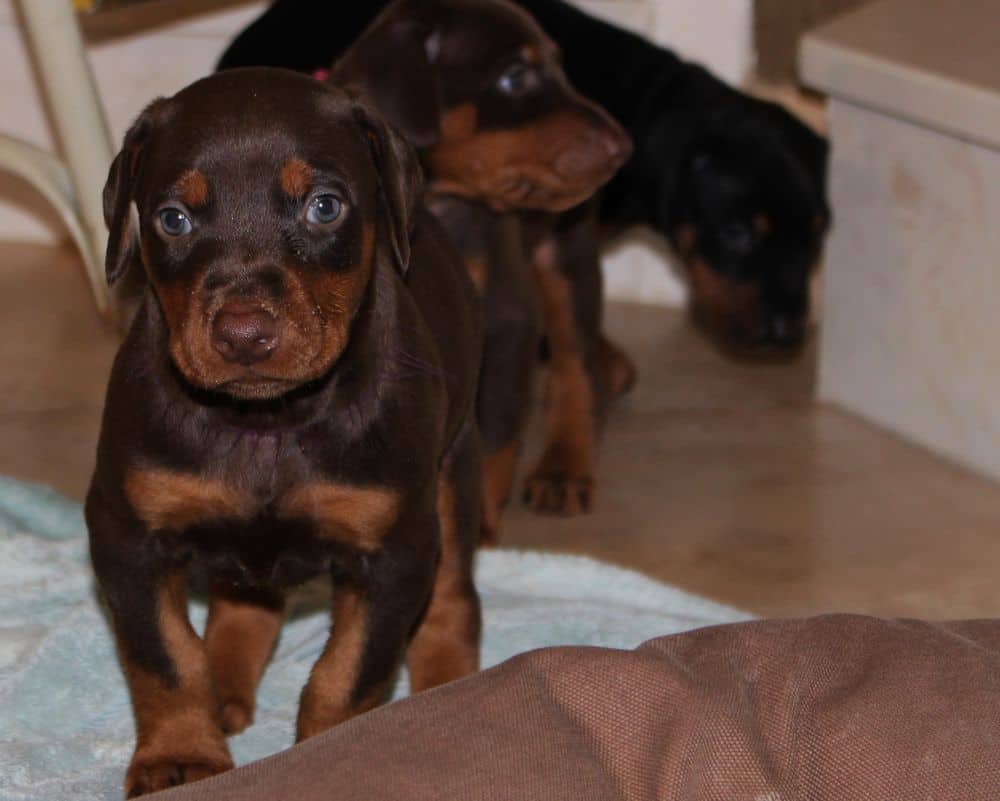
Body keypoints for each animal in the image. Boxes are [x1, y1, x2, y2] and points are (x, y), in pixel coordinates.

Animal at [88, 69, 486, 792]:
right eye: (173, 218)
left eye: (324, 207)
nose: (243, 334)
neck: (268, 423)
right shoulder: (124, 531)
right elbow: (165, 656)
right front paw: (181, 755)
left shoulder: (395, 549)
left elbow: (347, 674)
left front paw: (323, 758)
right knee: (242, 602)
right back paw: (226, 687)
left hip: (454, 466)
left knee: (453, 595)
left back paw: (449, 689)